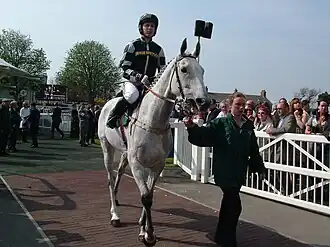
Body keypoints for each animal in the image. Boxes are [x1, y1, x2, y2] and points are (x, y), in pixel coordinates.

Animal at [97, 38, 209, 245]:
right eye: (184, 69)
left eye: (202, 70)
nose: (203, 102)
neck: (152, 120)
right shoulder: (137, 164)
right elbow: (145, 197)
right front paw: (149, 234)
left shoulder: (156, 164)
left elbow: (149, 193)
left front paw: (143, 228)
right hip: (106, 148)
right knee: (110, 177)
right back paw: (115, 214)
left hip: (124, 153)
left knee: (119, 173)